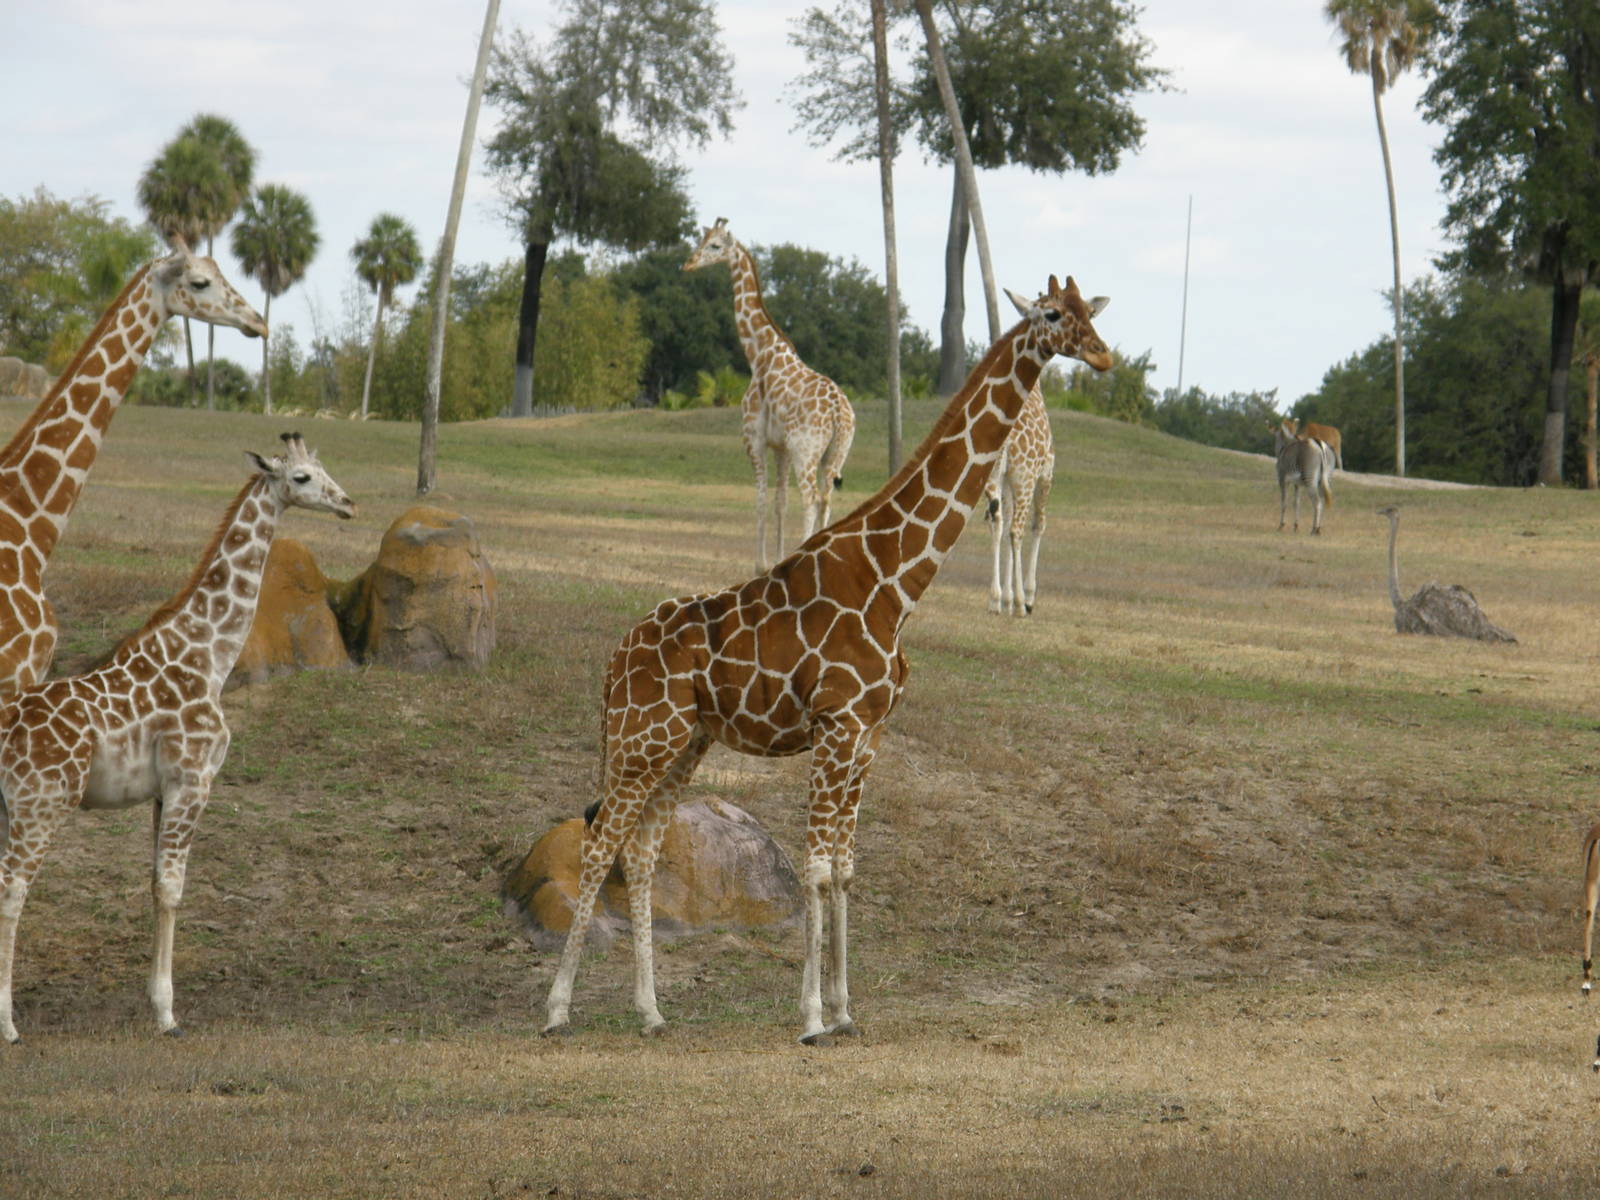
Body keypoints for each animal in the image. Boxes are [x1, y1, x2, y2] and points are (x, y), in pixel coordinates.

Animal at [0, 434, 353, 1042]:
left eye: (325, 468)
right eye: (303, 477)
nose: (348, 503)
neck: (208, 655)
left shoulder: (163, 792)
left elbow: (152, 886)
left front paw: (155, 1002)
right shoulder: (194, 779)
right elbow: (172, 889)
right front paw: (167, 1014)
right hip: (40, 804)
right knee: (12, 891)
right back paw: (7, 1025)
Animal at [684, 219, 856, 570]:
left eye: (715, 246)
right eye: (701, 239)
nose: (688, 263)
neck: (758, 353)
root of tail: (837, 413)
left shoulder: (755, 438)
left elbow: (761, 499)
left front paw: (761, 565)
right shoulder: (782, 447)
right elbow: (780, 501)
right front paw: (777, 561)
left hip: (807, 451)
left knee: (811, 498)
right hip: (835, 453)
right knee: (826, 497)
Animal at [985, 383, 1055, 616]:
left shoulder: (1006, 481)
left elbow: (1005, 524)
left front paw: (1005, 599)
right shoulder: (1045, 474)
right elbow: (1039, 525)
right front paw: (1028, 597)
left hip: (992, 478)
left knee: (997, 523)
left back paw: (995, 600)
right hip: (1026, 479)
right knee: (1017, 530)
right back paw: (1020, 603)